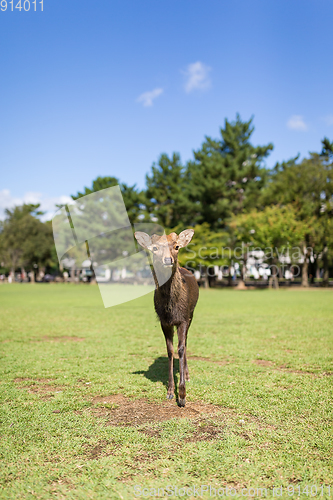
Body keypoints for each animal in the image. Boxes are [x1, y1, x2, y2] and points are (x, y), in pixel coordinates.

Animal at [134, 229, 198, 406]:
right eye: (154, 248)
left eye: (176, 246)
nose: (168, 259)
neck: (171, 309)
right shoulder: (164, 321)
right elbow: (170, 351)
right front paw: (170, 391)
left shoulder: (183, 318)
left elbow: (181, 348)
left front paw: (182, 395)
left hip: (191, 314)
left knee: (186, 342)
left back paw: (188, 375)